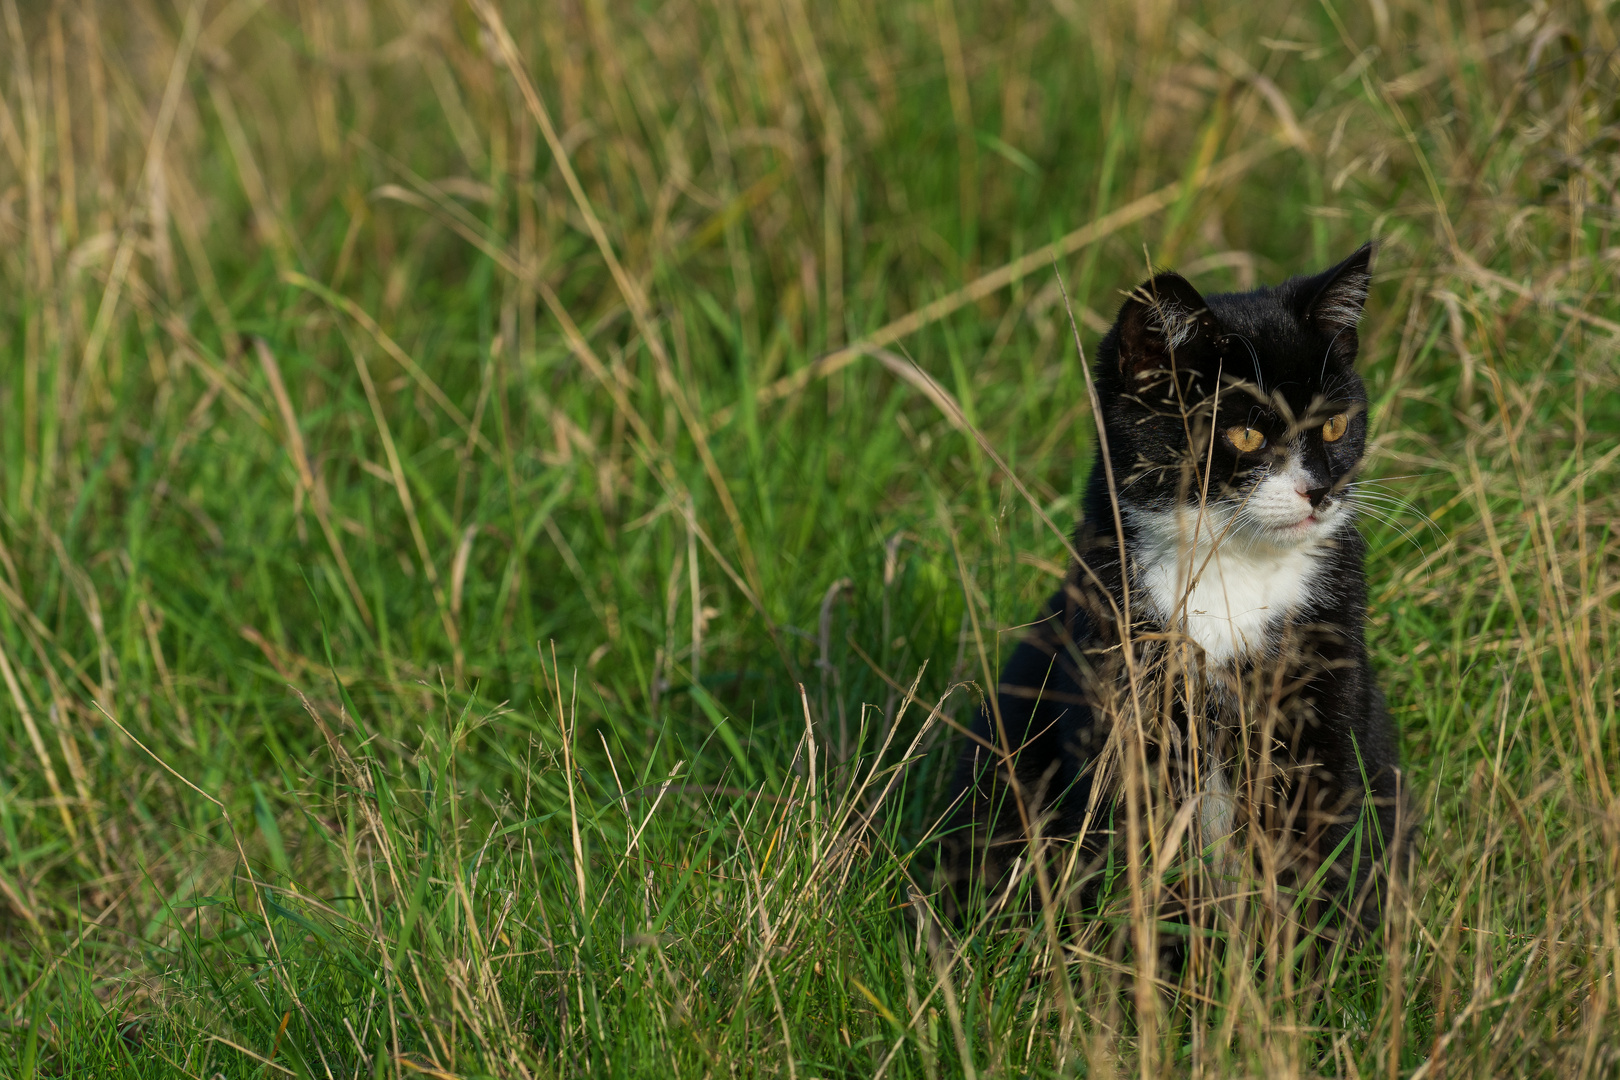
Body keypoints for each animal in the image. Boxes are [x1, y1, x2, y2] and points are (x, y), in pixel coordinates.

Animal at [939, 242, 1406, 945]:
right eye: (1245, 434)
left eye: (1335, 426)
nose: (1320, 491)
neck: (1232, 571)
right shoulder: (1121, 695)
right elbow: (1136, 861)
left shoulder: (1327, 697)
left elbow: (1319, 859)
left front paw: (1308, 965)